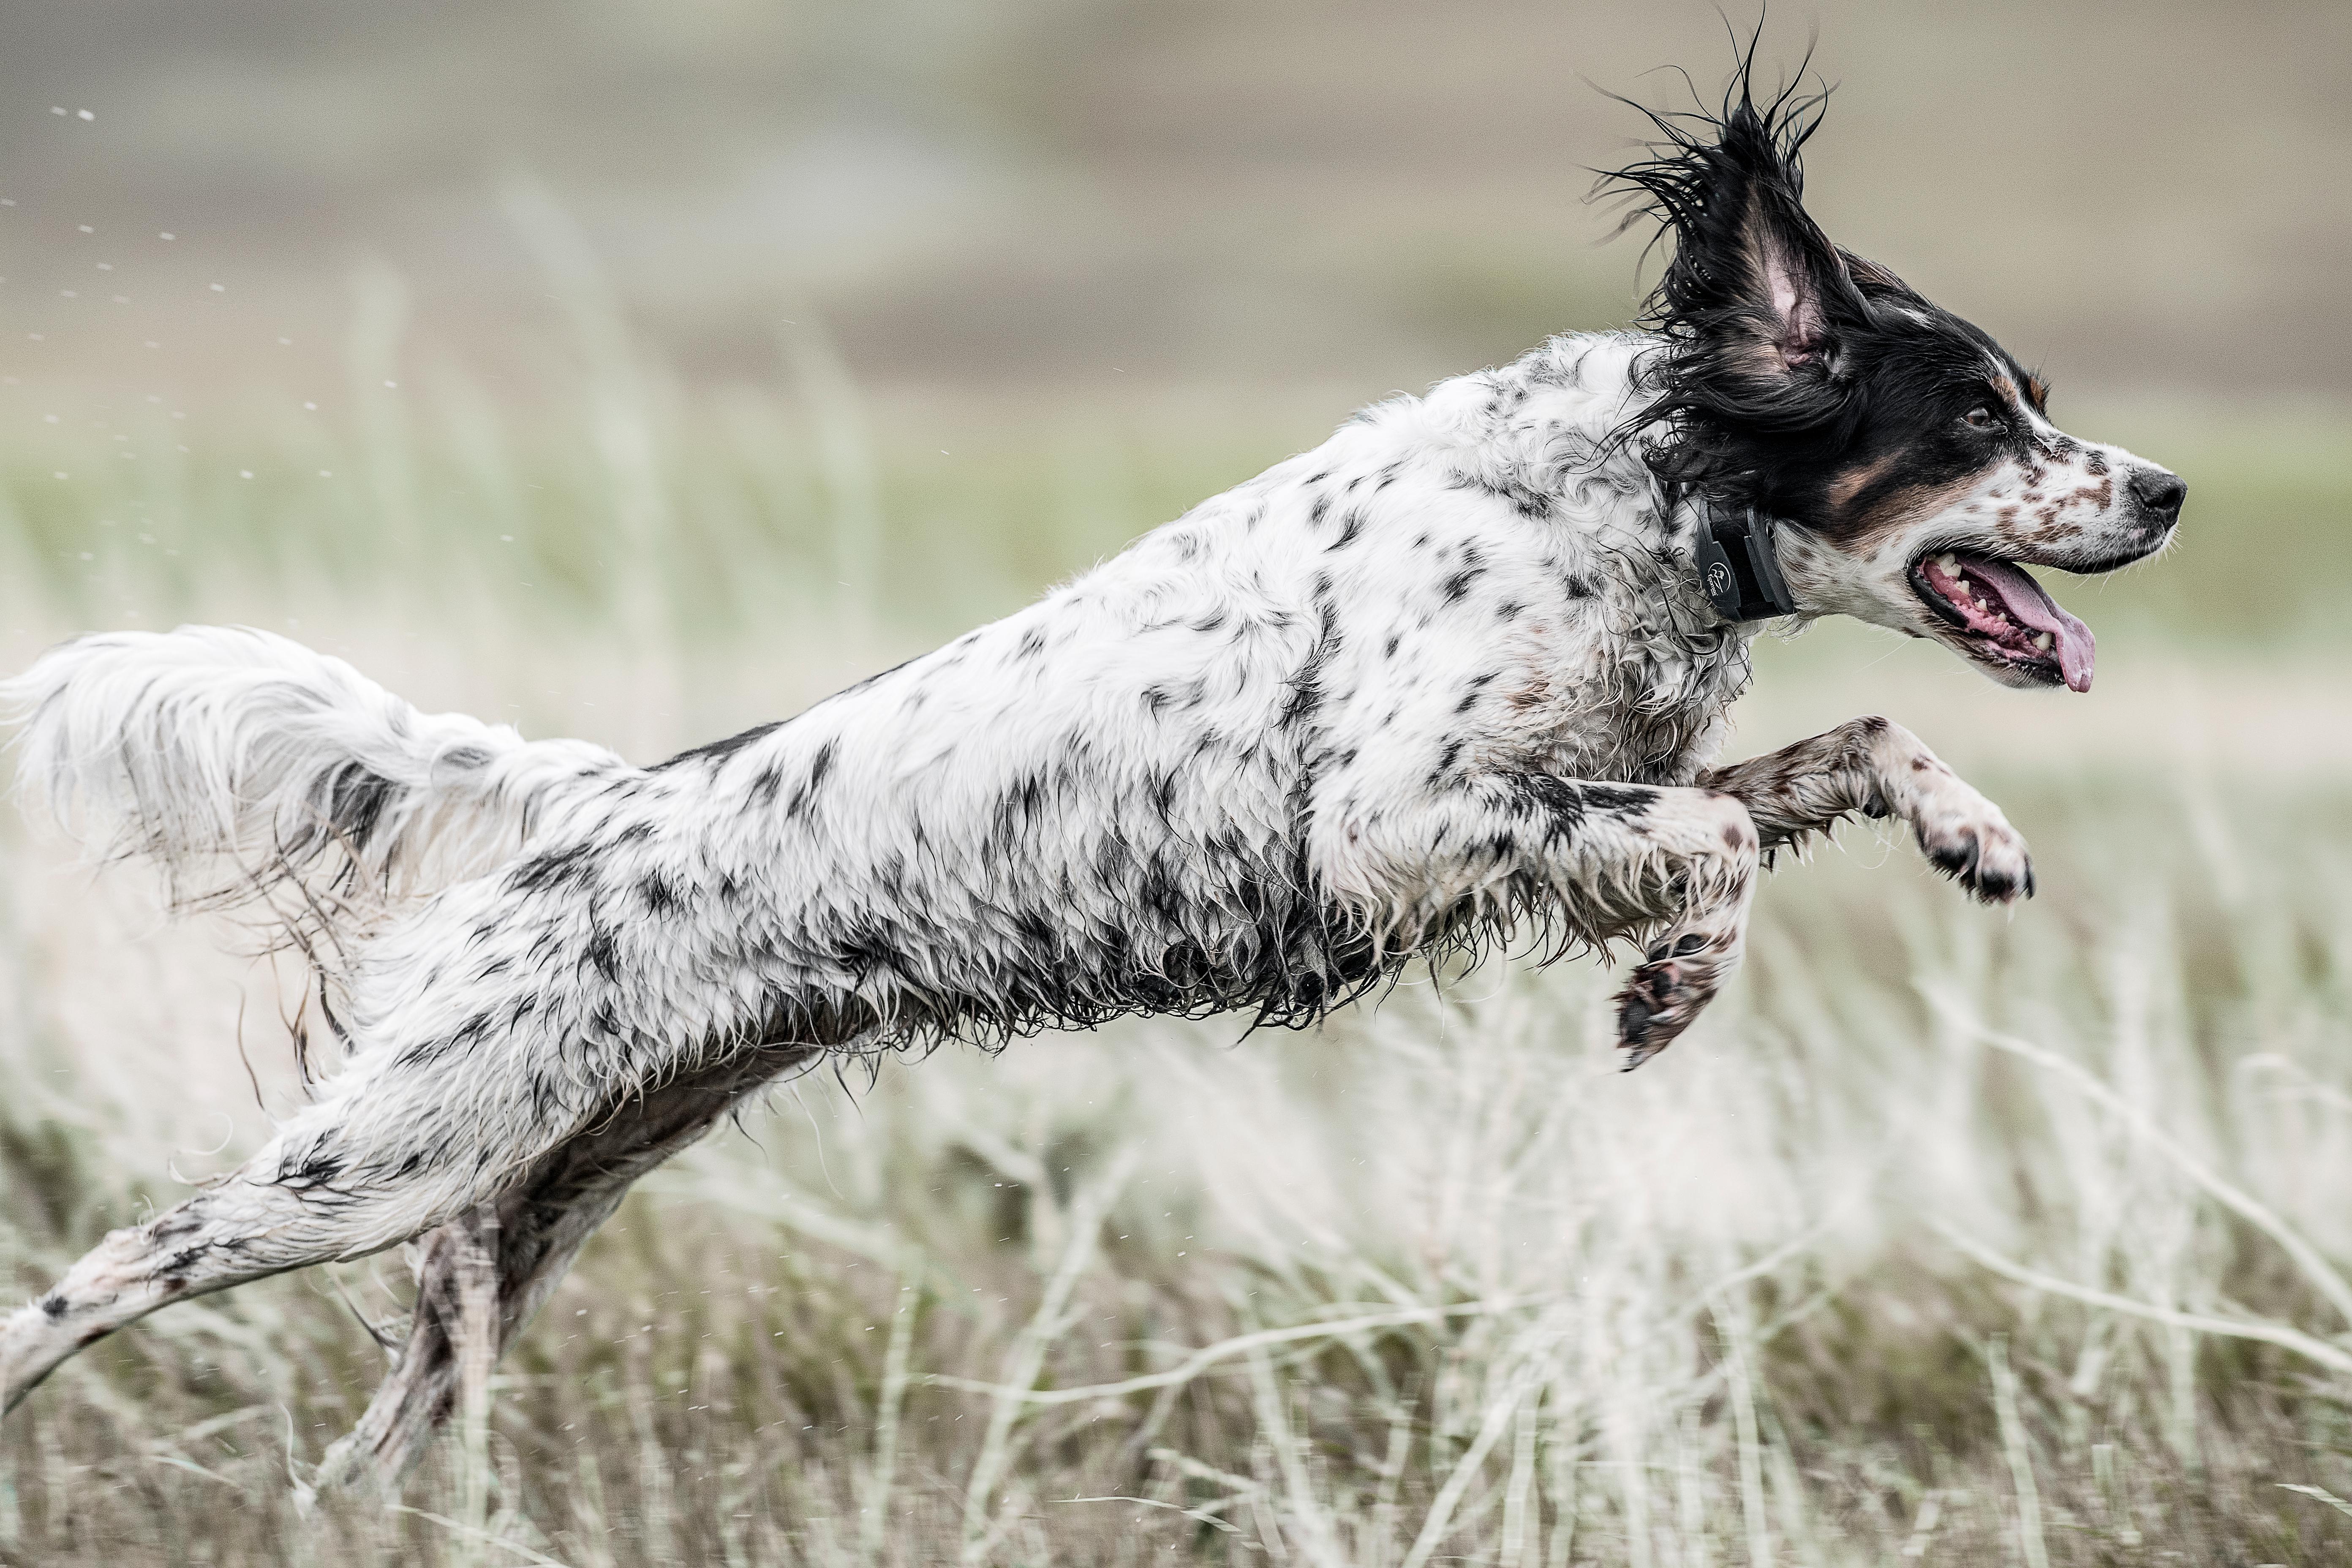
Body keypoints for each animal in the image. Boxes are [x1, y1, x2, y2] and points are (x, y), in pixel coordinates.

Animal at [0, 58, 2183, 1486]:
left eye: (2040, 405)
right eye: (1977, 419)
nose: (2163, 490)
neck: (1640, 491)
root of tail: (597, 802)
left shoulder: (1583, 781)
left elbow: (1844, 744)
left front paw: (1971, 831)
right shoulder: (1398, 814)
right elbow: (1716, 823)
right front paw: (1676, 981)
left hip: (530, 1188)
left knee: (387, 1409)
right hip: (382, 1156)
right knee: (107, 1266)